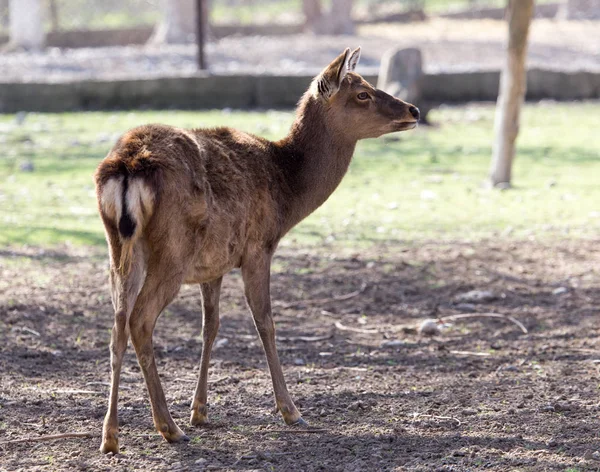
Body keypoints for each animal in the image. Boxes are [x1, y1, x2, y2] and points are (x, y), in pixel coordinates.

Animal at [95, 47, 422, 454]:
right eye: (362, 93)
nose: (414, 110)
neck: (287, 192)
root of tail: (127, 165)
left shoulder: (214, 264)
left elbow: (211, 326)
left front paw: (200, 411)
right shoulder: (258, 246)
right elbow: (265, 321)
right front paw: (291, 411)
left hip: (119, 249)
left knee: (117, 325)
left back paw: (110, 436)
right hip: (172, 251)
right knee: (140, 320)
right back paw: (168, 428)